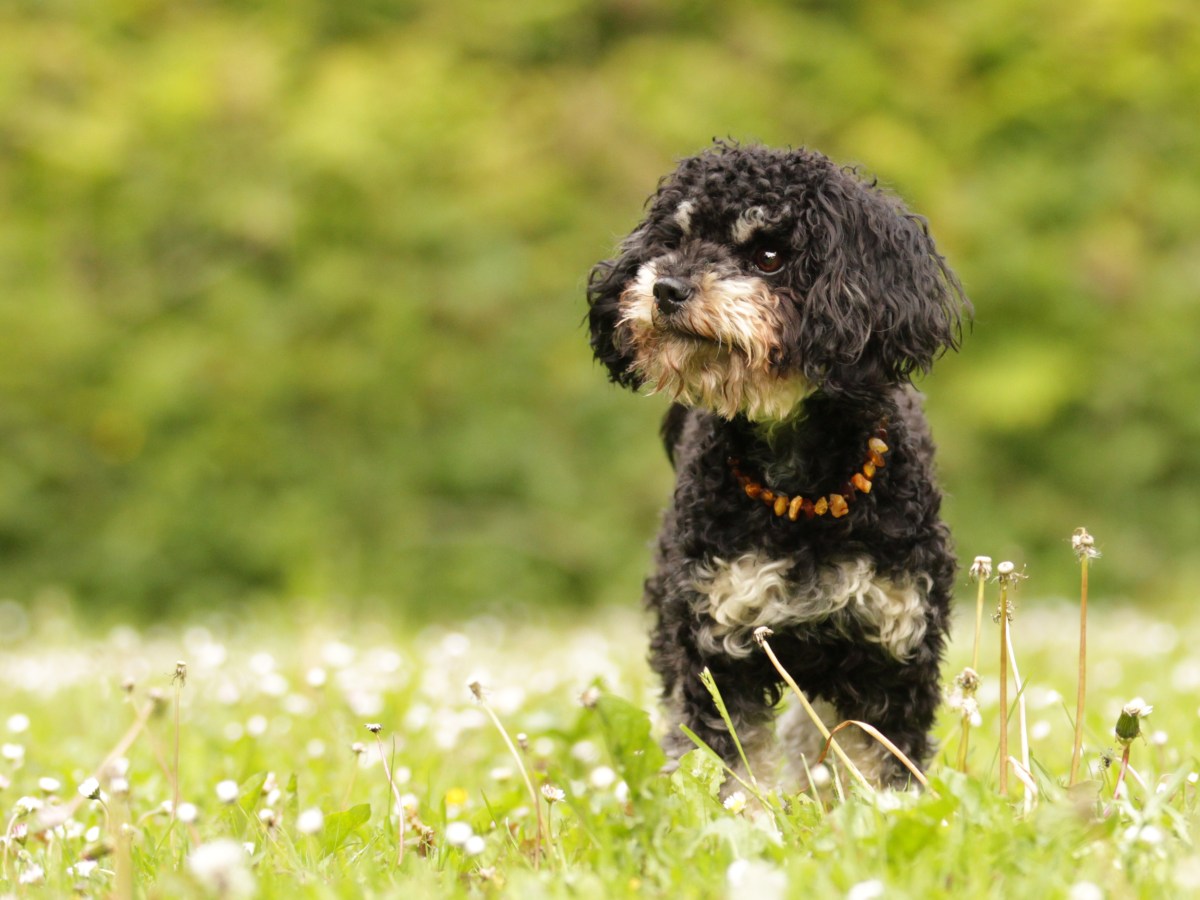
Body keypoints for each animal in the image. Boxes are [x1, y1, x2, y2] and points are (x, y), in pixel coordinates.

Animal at [585, 142, 969, 787]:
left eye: (769, 255)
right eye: (675, 238)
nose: (666, 288)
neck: (804, 493)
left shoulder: (893, 648)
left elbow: (878, 763)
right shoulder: (717, 646)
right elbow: (733, 764)